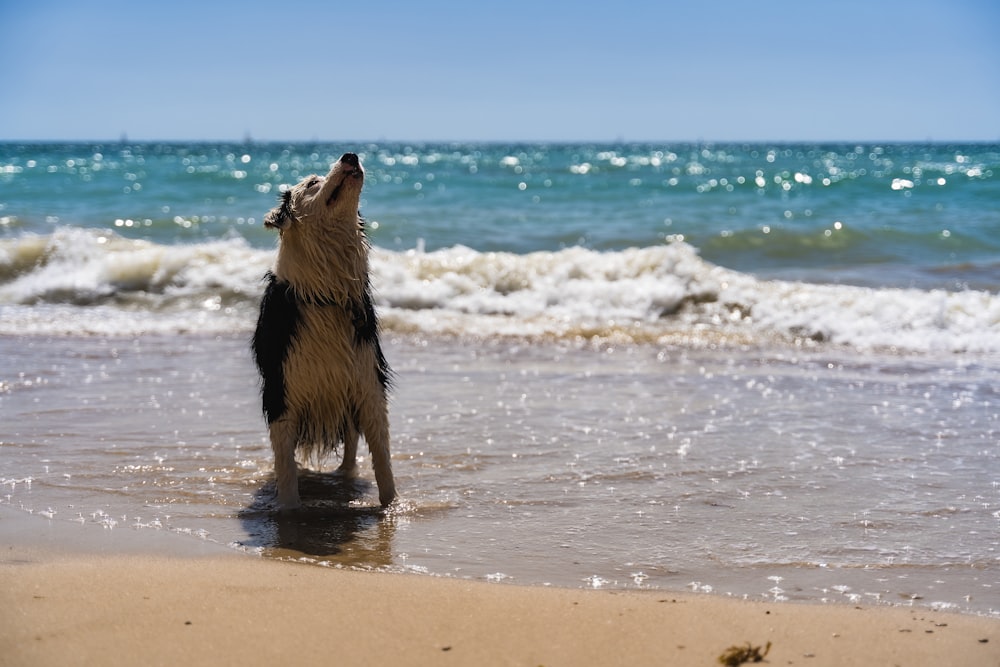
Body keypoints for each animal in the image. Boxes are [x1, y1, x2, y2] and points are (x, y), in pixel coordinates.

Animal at [250, 154, 394, 508]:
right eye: (312, 183)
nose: (350, 155)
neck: (325, 293)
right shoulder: (281, 389)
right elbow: (286, 467)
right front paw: (288, 511)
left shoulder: (367, 382)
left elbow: (383, 460)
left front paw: (393, 506)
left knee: (352, 443)